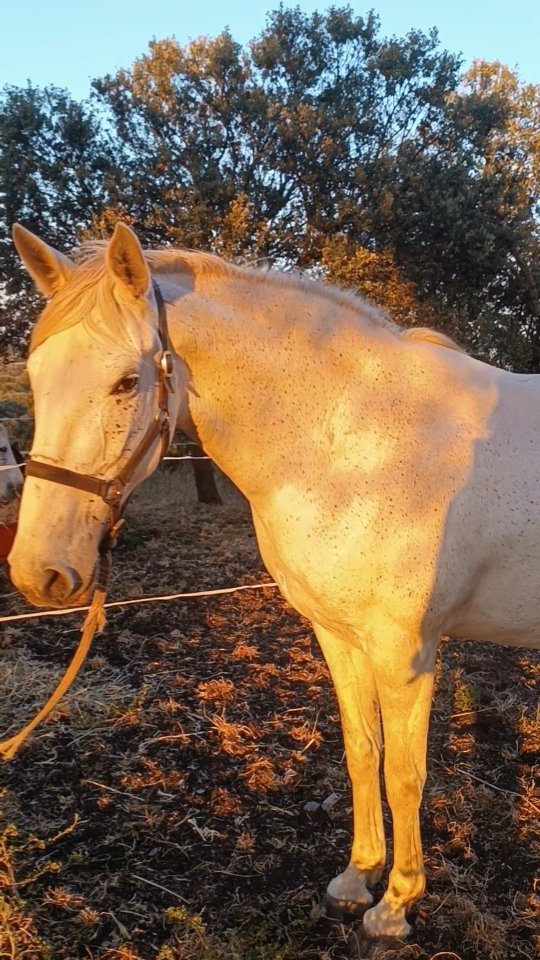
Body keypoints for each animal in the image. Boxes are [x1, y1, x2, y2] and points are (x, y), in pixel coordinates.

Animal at [8, 222, 540, 940]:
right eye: (36, 377)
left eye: (125, 382)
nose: (38, 571)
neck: (356, 445)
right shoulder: (339, 636)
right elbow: (362, 751)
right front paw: (356, 880)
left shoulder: (405, 652)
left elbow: (405, 774)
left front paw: (395, 905)